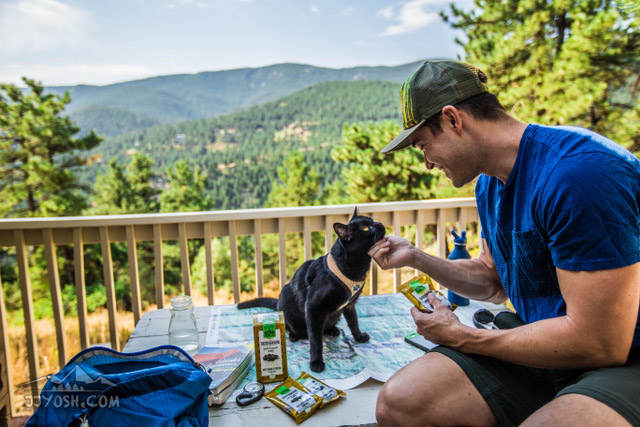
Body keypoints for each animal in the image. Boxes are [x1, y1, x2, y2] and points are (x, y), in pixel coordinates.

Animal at [237, 207, 386, 372]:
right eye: (366, 228)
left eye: (372, 222)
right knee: (293, 327)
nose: (380, 224)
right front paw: (316, 362)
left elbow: (354, 322)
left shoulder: (349, 305)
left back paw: (332, 330)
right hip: (286, 300)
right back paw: (295, 335)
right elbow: (315, 339)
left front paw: (359, 337)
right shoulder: (314, 307)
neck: (354, 268)